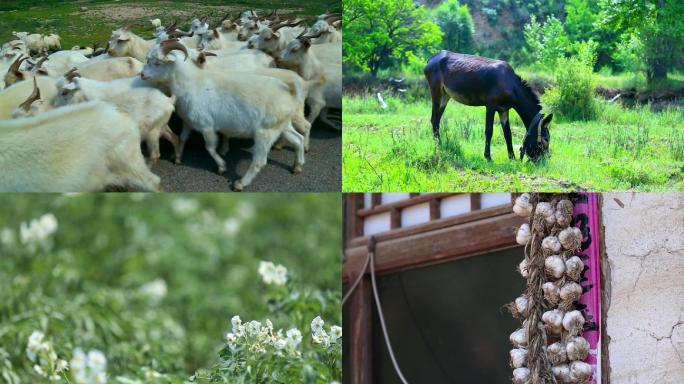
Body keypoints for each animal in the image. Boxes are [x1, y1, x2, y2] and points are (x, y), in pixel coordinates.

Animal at [142, 40, 304, 190]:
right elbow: (182, 138)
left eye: (157, 63)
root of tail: (289, 92)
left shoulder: (206, 126)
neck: (193, 84)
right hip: (283, 126)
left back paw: (240, 183)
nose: (142, 75)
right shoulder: (188, 122)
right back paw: (297, 166)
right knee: (298, 139)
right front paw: (177, 158)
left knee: (259, 161)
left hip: (265, 133)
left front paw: (221, 167)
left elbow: (210, 148)